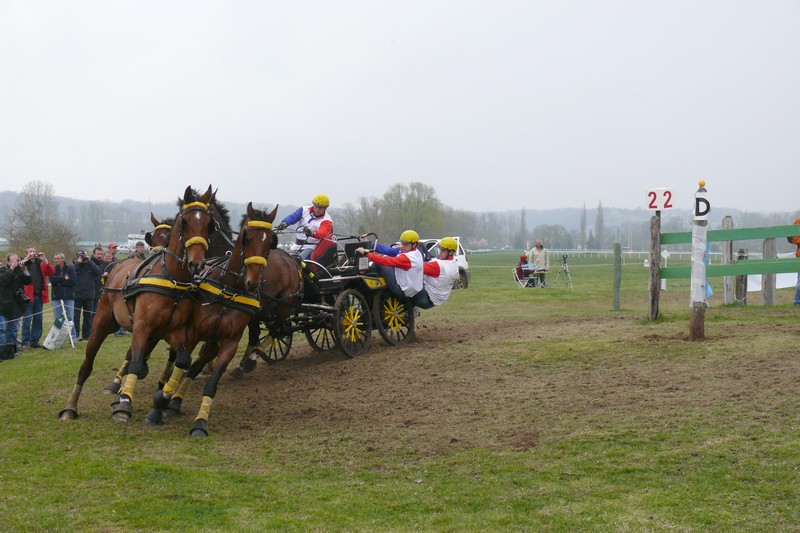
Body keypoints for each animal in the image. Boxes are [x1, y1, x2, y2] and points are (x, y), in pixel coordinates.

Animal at [59, 185, 216, 422]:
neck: (172, 278)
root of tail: (114, 268)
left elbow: (182, 360)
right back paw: (71, 406)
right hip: (102, 323)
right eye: (185, 222)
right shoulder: (143, 326)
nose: (196, 263)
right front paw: (124, 403)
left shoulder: (174, 331)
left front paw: (162, 395)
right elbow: (135, 361)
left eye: (208, 224)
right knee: (87, 363)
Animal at [144, 202, 278, 434]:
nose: (253, 281)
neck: (229, 288)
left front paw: (199, 422)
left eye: (271, 242)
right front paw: (161, 400)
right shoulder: (191, 333)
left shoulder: (228, 343)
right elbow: (182, 362)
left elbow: (209, 382)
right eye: (247, 237)